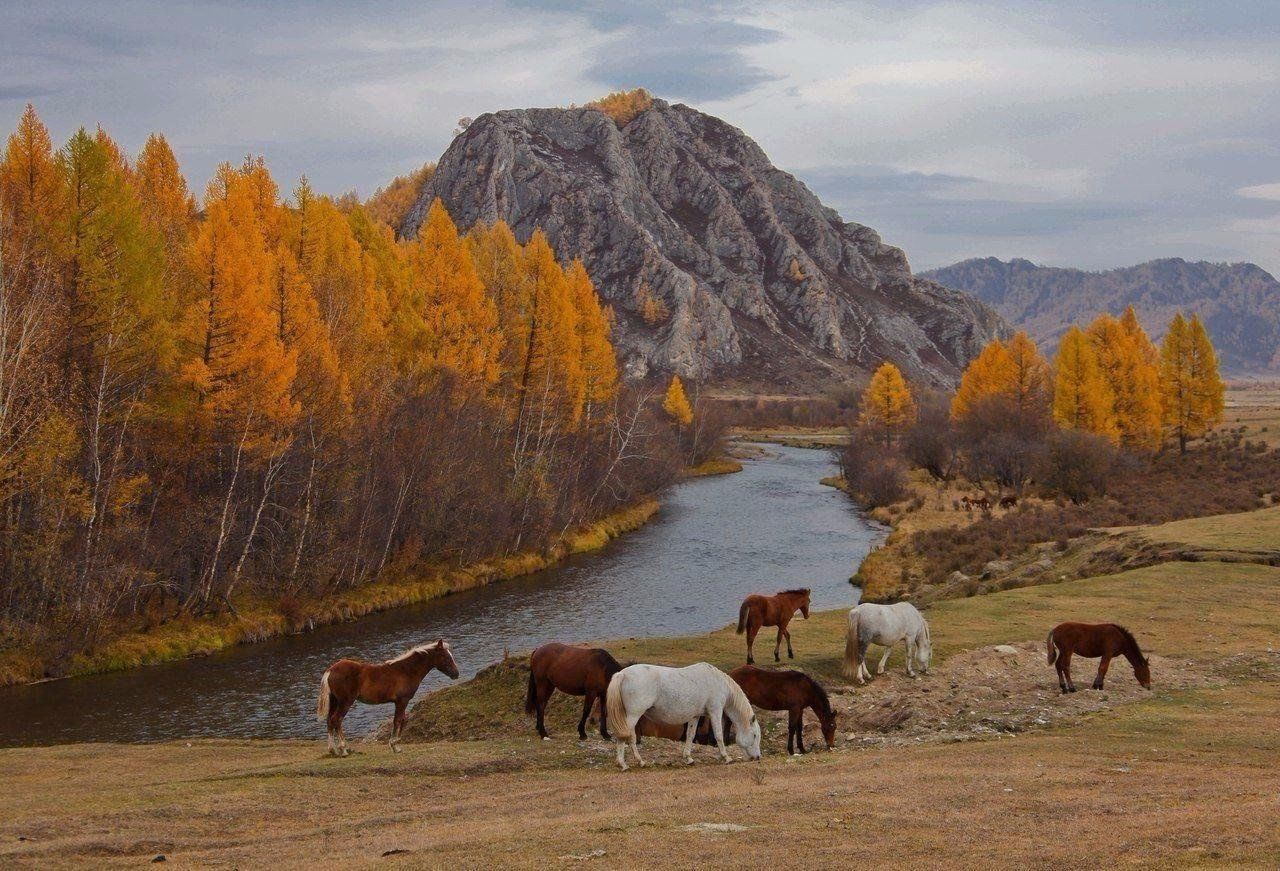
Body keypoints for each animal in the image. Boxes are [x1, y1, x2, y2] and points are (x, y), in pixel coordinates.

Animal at [316, 640, 460, 753]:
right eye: (446, 657)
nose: (456, 674)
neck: (406, 670)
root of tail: (330, 670)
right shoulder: (402, 701)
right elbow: (398, 720)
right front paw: (394, 745)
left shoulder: (400, 702)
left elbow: (402, 720)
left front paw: (396, 744)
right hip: (345, 702)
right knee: (337, 720)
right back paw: (344, 748)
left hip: (334, 701)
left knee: (329, 720)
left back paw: (332, 749)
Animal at [601, 660, 757, 768]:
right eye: (755, 735)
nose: (757, 757)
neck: (717, 681)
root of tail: (622, 674)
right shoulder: (715, 711)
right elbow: (719, 735)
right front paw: (726, 757)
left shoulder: (695, 716)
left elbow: (690, 735)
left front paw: (688, 758)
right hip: (633, 715)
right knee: (625, 737)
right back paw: (624, 764)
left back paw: (639, 762)